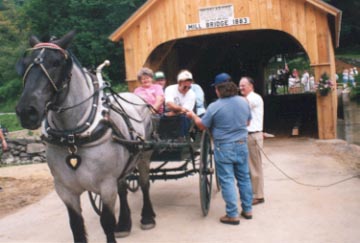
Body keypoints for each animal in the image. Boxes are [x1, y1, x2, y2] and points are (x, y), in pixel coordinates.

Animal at [15, 31, 155, 242]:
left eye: (56, 62)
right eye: (25, 63)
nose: (26, 111)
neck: (73, 137)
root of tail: (136, 98)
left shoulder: (106, 186)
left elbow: (107, 222)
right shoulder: (65, 190)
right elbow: (76, 226)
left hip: (143, 155)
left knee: (145, 183)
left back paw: (147, 217)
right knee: (123, 189)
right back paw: (124, 223)